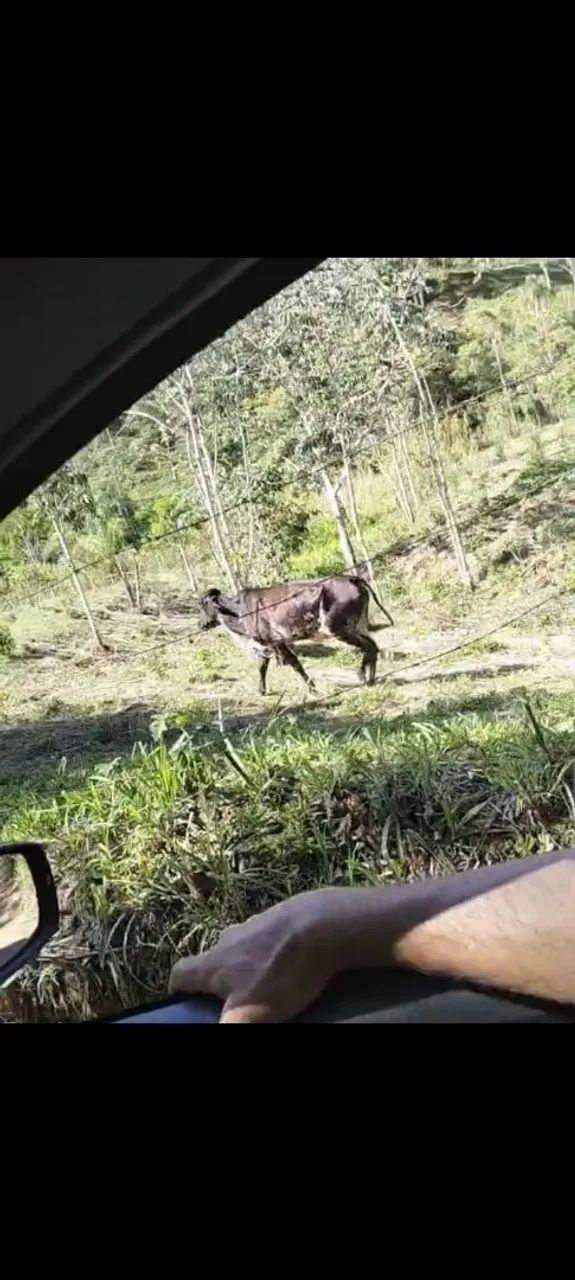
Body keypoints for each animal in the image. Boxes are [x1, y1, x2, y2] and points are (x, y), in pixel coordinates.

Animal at [199, 575, 394, 695]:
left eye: (203, 604)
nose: (200, 624)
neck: (239, 610)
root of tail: (352, 578)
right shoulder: (269, 644)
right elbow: (263, 666)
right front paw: (261, 690)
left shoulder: (275, 642)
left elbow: (294, 664)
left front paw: (312, 688)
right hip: (358, 626)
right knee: (373, 646)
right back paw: (371, 678)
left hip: (338, 628)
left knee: (369, 646)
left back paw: (362, 676)